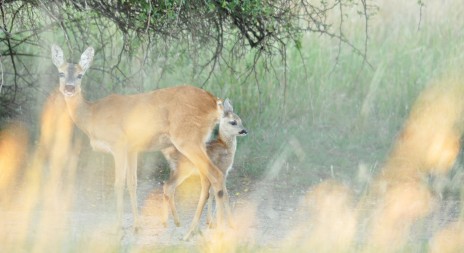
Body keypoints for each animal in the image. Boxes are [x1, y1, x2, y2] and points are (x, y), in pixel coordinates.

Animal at [51, 45, 229, 235]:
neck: (92, 115)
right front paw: (137, 226)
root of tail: (214, 102)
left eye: (80, 75)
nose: (69, 88)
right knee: (206, 179)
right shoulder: (132, 149)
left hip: (187, 138)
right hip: (198, 141)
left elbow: (118, 183)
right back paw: (194, 229)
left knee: (215, 175)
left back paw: (212, 230)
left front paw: (118, 226)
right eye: (61, 73)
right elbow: (133, 183)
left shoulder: (118, 144)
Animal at [161, 98, 246, 238]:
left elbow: (212, 194)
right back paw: (170, 223)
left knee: (168, 188)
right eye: (233, 122)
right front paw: (230, 224)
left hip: (174, 171)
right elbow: (225, 195)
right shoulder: (223, 171)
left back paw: (175, 222)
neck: (226, 146)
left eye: (240, 120)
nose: (244, 131)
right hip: (183, 171)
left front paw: (210, 222)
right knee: (168, 187)